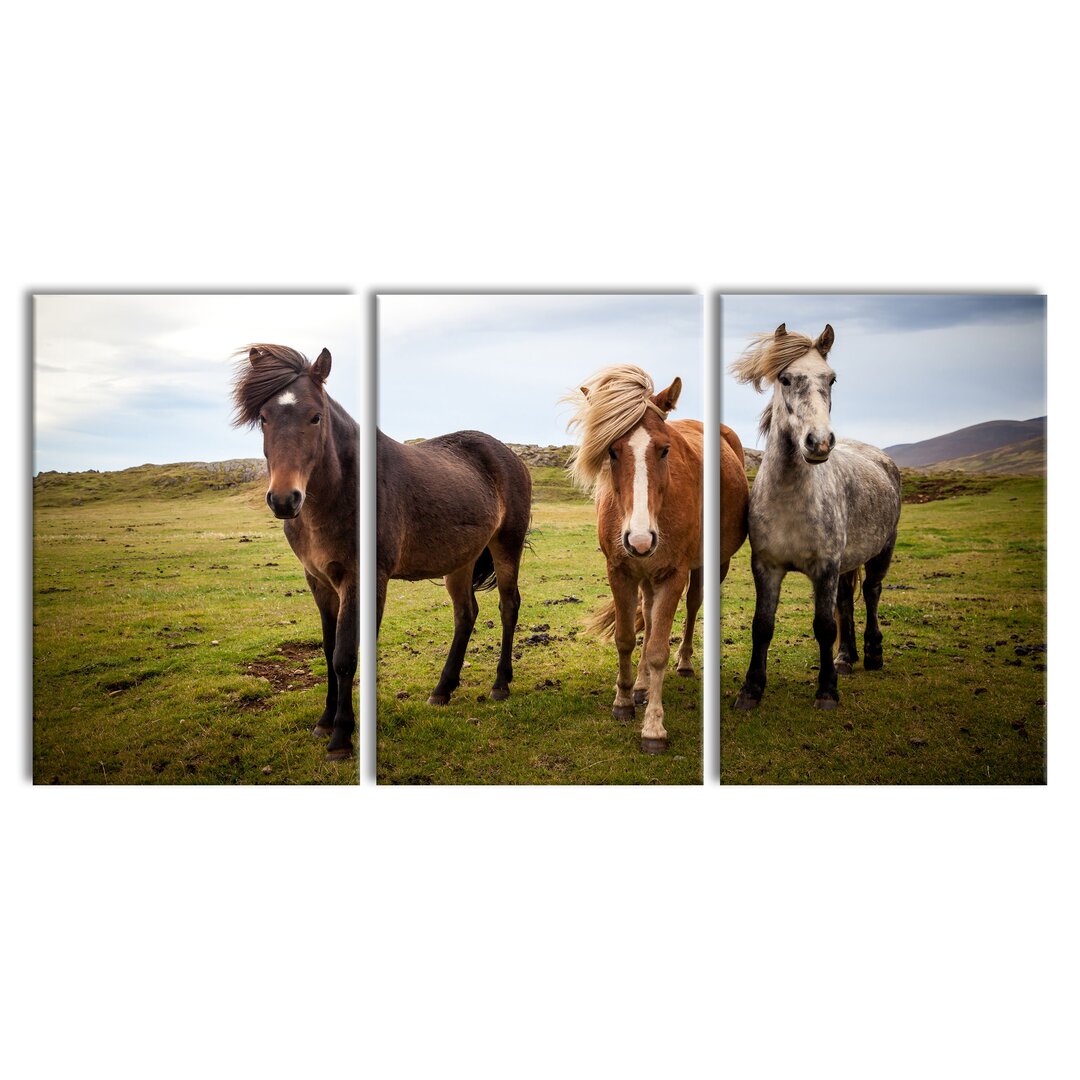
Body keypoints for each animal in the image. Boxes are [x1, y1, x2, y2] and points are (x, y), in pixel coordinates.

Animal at [231, 343, 358, 760]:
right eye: (264, 418)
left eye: (315, 416)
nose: (285, 499)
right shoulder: (317, 581)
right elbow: (328, 649)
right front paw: (326, 721)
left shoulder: (354, 580)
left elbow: (345, 657)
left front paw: (341, 736)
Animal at [378, 429, 533, 708]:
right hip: (462, 560)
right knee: (466, 612)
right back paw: (444, 687)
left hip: (507, 544)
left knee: (508, 605)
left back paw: (500, 683)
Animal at [565, 367, 708, 756]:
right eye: (611, 451)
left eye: (664, 449)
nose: (640, 539)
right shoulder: (620, 571)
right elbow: (627, 638)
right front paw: (624, 700)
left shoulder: (673, 574)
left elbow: (657, 649)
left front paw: (654, 729)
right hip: (645, 576)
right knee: (648, 612)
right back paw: (642, 687)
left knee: (692, 608)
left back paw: (684, 664)